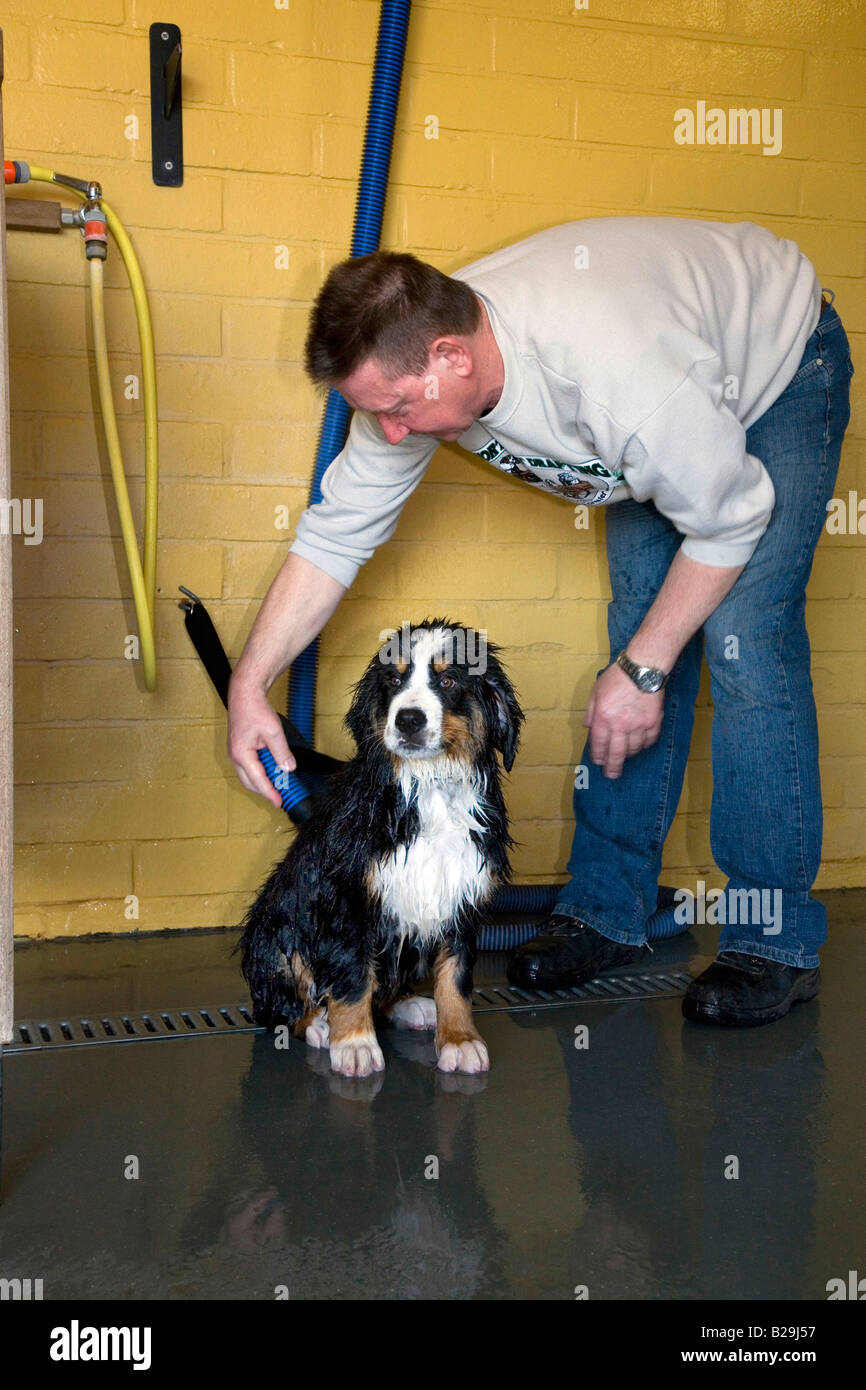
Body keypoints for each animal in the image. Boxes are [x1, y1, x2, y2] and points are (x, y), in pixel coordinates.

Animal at [237, 622, 522, 1084]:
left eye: (448, 680)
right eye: (393, 681)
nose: (408, 719)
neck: (429, 787)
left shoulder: (462, 891)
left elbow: (456, 978)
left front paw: (459, 1039)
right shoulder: (347, 897)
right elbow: (353, 974)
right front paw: (354, 1043)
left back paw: (411, 1005)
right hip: (277, 928)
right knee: (281, 1006)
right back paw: (317, 1024)